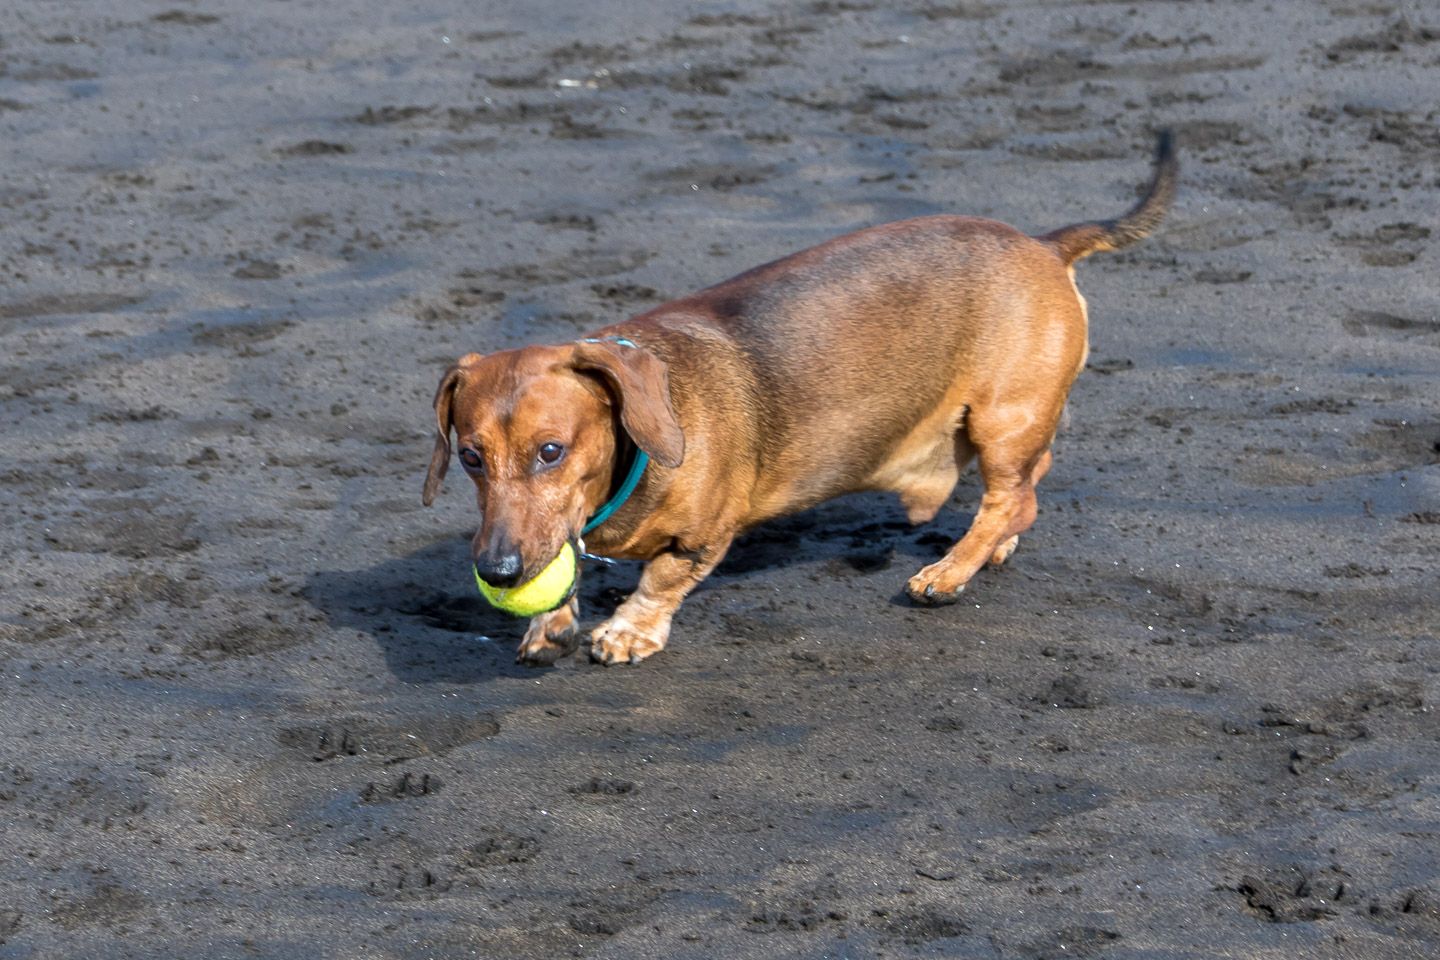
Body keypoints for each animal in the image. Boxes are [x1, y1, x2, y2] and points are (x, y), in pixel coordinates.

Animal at [420, 131, 1175, 664]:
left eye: (551, 451)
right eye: (471, 459)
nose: (497, 572)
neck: (637, 454)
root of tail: (1044, 245)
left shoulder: (705, 535)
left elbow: (663, 579)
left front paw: (628, 632)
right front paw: (549, 623)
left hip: (1005, 415)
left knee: (1010, 497)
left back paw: (950, 570)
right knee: (1027, 489)